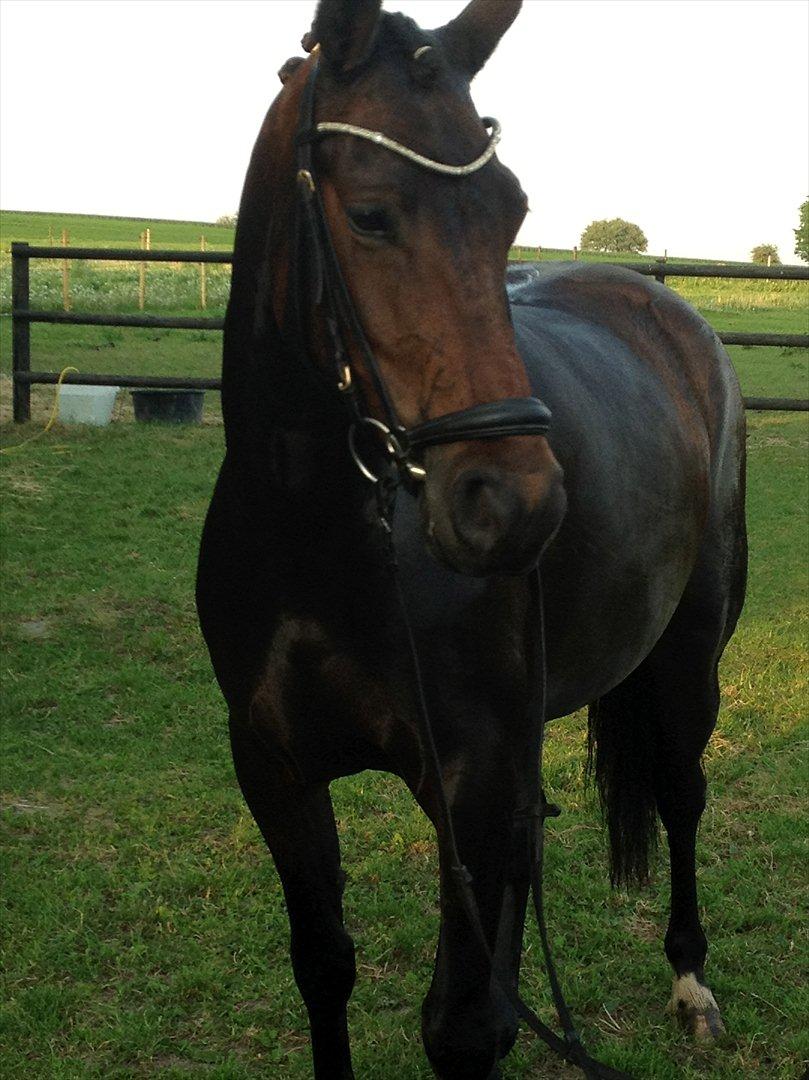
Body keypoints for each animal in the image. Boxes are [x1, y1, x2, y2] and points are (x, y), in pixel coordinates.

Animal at [197, 4, 743, 1075]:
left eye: (510, 208)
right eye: (370, 214)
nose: (517, 505)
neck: (322, 542)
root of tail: (668, 308)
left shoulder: (473, 781)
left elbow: (463, 1026)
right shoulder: (275, 769)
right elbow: (323, 969)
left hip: (686, 660)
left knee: (681, 792)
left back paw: (691, 981)